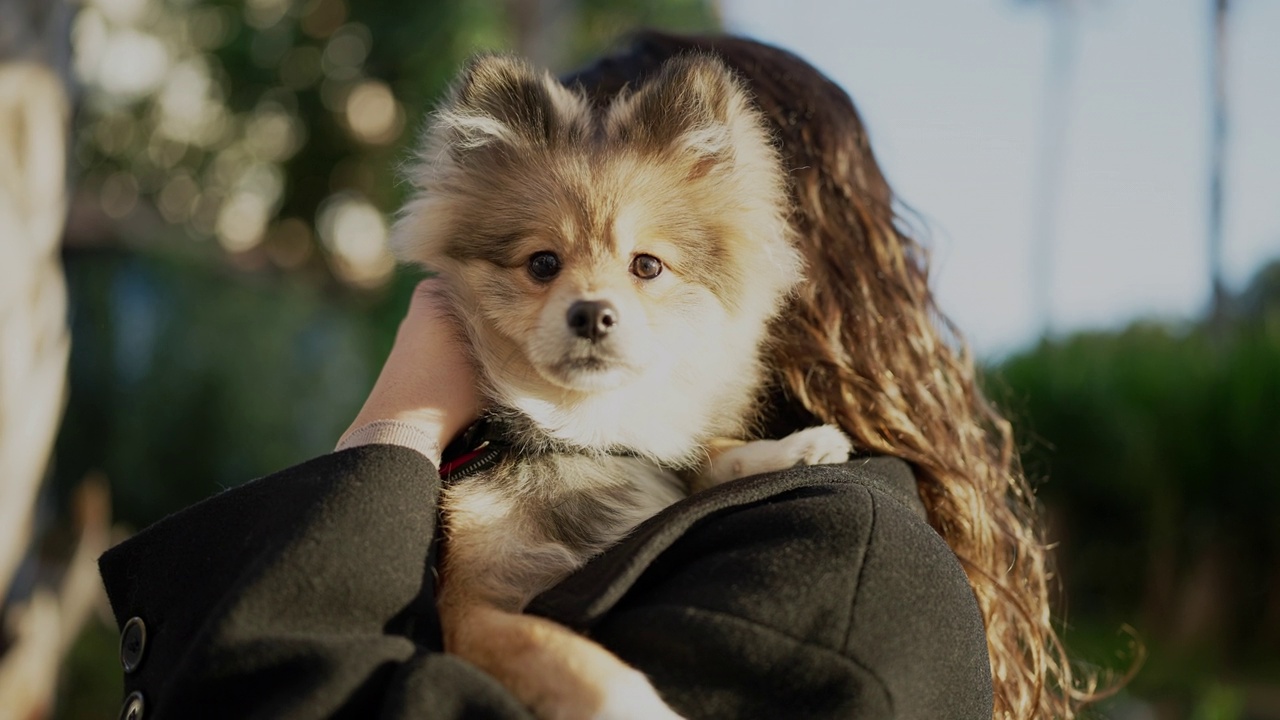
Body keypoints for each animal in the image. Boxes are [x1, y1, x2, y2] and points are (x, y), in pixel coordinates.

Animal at [389, 51, 849, 717]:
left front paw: (798, 448)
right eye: (543, 263)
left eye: (647, 265)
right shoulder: (472, 606)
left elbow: (707, 455)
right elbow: (572, 659)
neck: (581, 431)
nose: (591, 313)